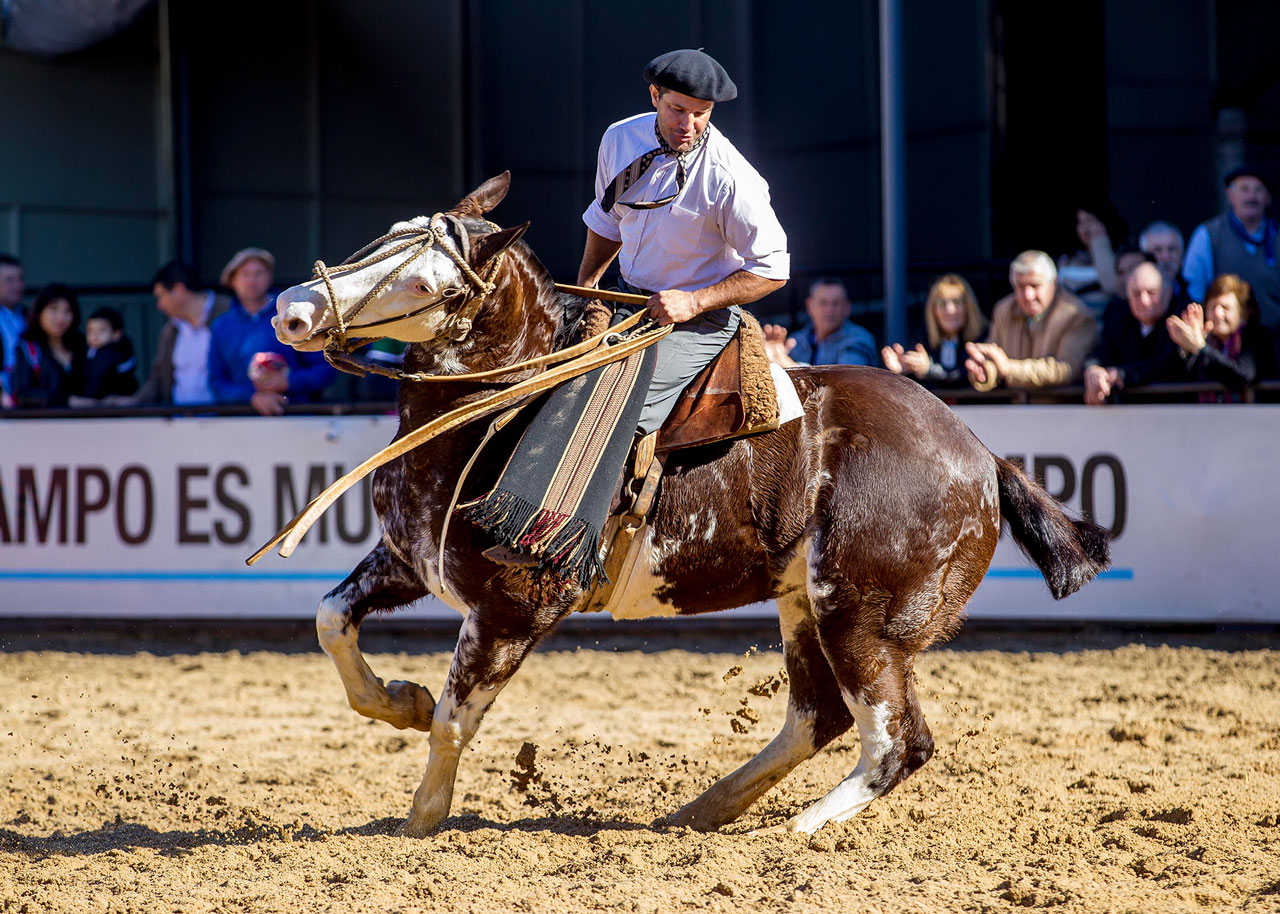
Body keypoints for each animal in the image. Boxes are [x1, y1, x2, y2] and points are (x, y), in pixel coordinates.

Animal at [267, 172, 1100, 834]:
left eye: (423, 284)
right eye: (382, 235)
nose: (291, 311)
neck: (506, 410)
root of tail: (981, 456)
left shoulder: (515, 607)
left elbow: (452, 719)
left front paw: (422, 818)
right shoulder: (410, 560)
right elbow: (333, 622)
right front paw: (396, 700)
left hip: (862, 617)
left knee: (896, 740)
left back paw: (801, 827)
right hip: (805, 603)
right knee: (819, 714)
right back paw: (704, 808)